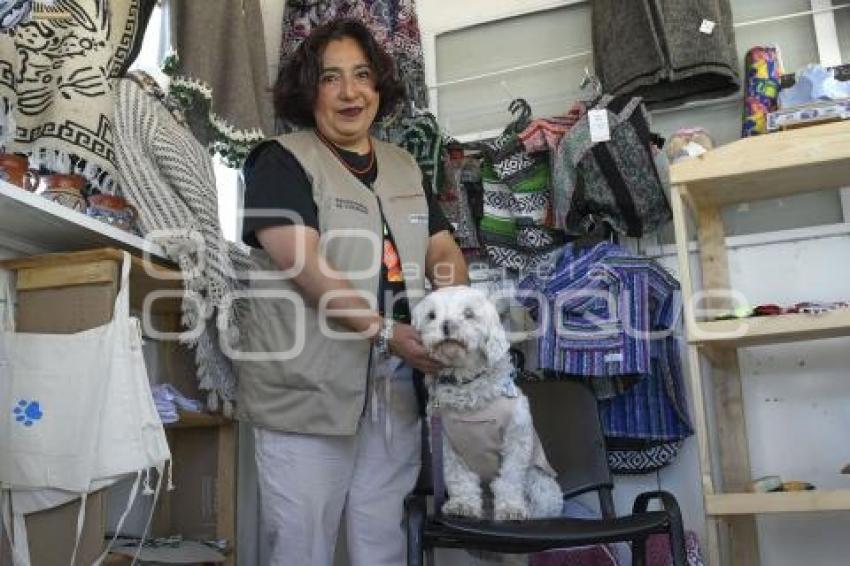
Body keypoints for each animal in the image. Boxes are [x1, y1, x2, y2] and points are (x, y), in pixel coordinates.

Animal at [410, 288, 564, 524]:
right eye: (431, 316)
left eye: (468, 313)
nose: (446, 325)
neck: (466, 384)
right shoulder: (445, 445)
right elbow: (459, 478)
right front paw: (462, 504)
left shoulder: (516, 438)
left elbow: (510, 478)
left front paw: (511, 508)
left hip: (542, 485)